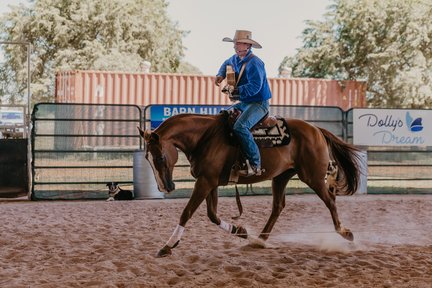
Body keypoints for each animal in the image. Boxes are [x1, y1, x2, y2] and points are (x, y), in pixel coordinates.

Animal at [138, 112, 362, 256]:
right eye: (147, 158)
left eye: (159, 158)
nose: (165, 188)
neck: (205, 137)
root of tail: (316, 129)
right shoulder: (210, 181)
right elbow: (212, 215)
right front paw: (240, 231)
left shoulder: (205, 181)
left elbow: (187, 212)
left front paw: (168, 245)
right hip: (281, 176)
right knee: (278, 206)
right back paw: (259, 240)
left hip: (312, 176)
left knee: (330, 200)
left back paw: (346, 233)